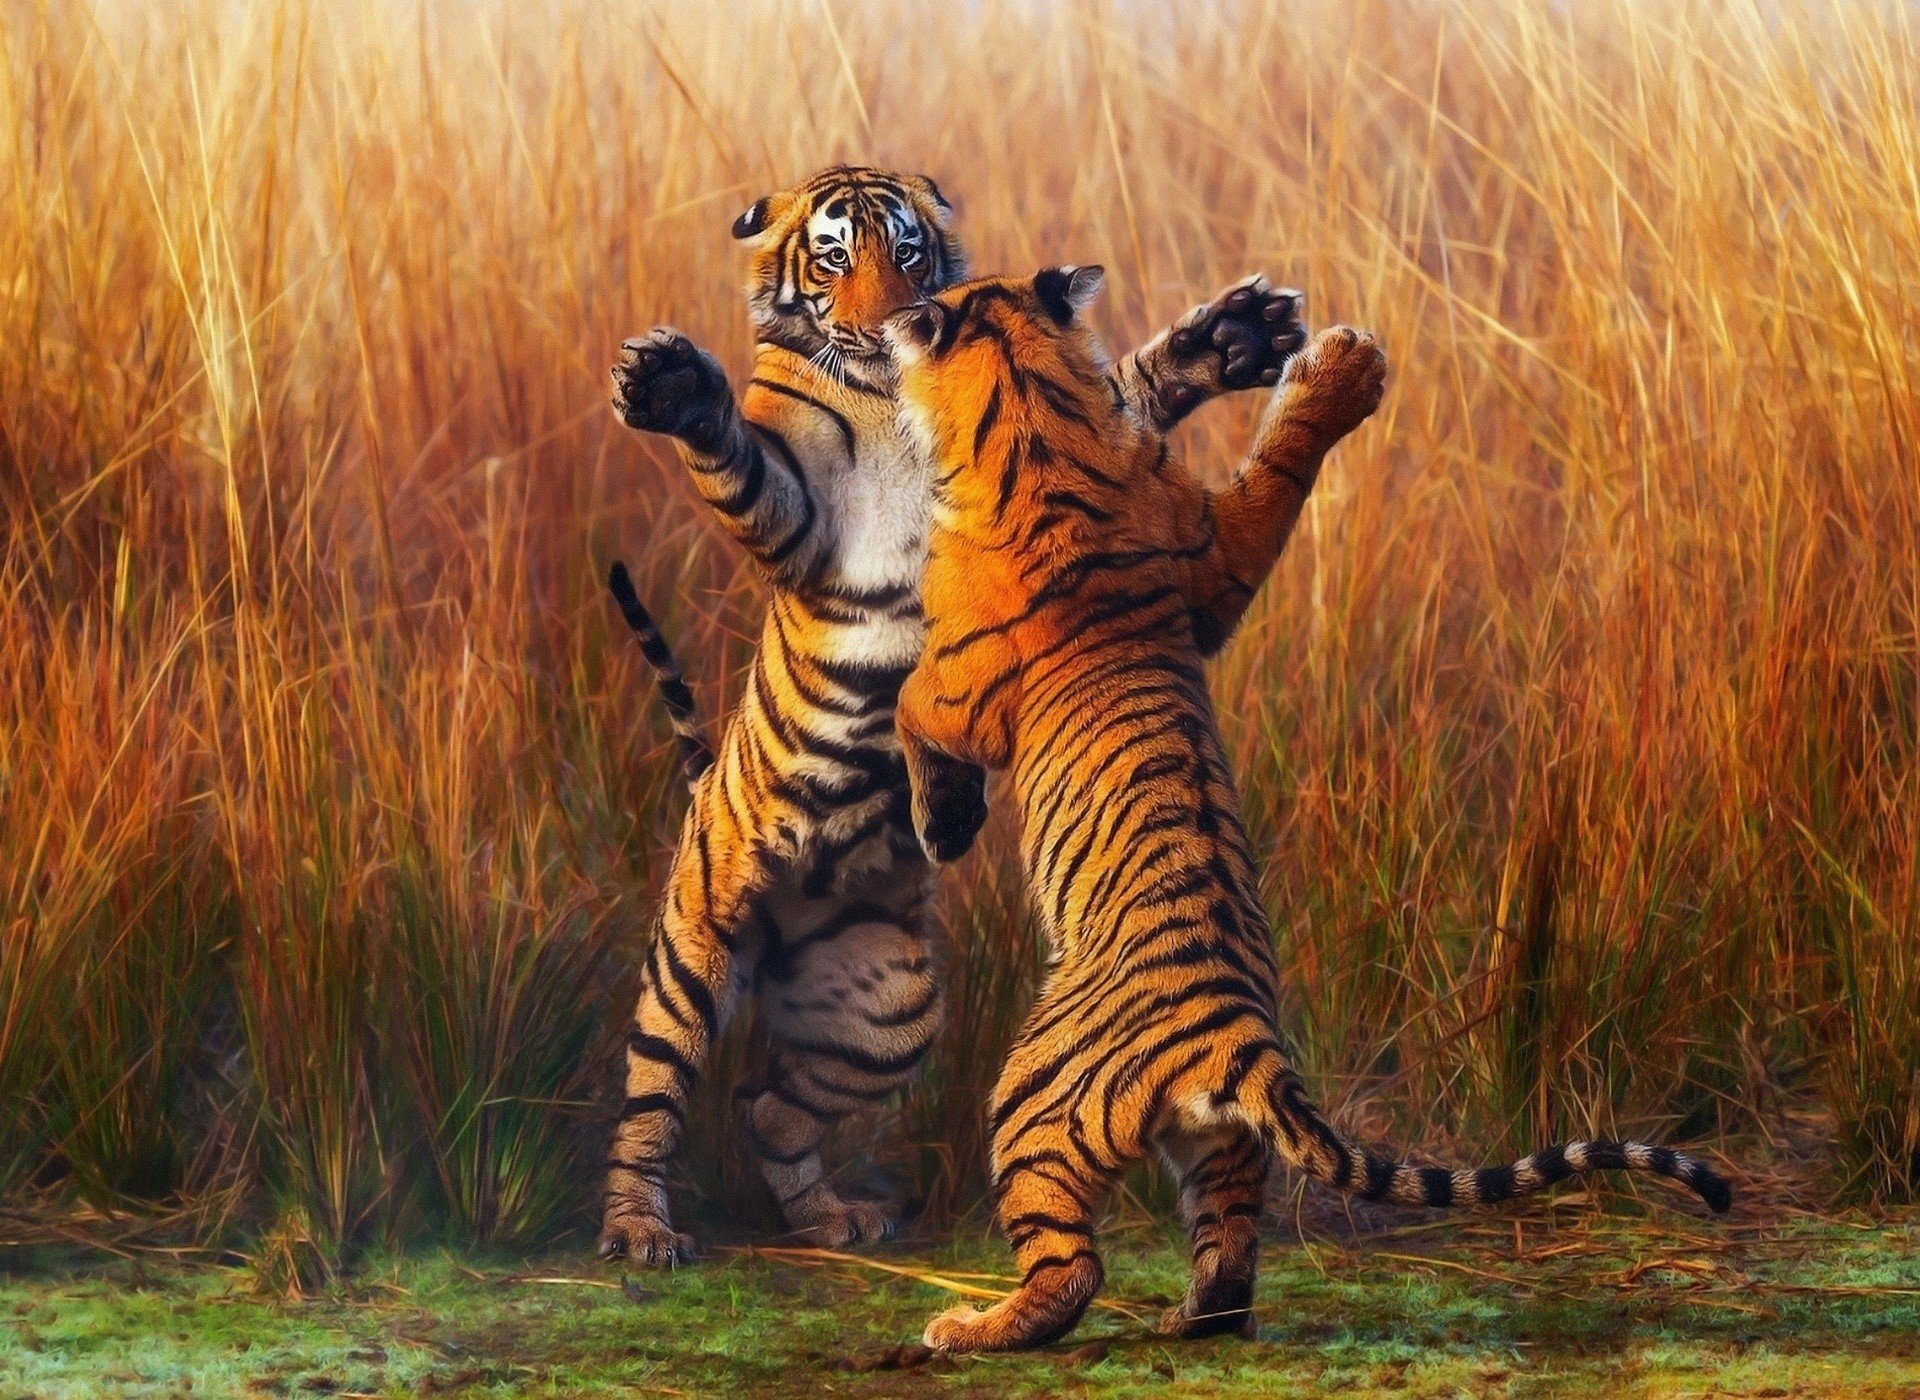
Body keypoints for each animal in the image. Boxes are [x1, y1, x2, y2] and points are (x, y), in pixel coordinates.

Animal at [600, 165, 1317, 1265]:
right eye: (833, 258)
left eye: (908, 251)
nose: (892, 323)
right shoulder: (803, 521)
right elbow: (743, 466)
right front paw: (672, 388)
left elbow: (1124, 387)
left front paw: (1235, 338)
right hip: (694, 942)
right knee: (650, 1097)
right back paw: (638, 1228)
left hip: (888, 1006)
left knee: (770, 1104)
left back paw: (833, 1220)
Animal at [883, 267, 1734, 1352]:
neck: (1041, 410)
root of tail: (1235, 1036)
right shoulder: (1209, 556)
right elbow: (1275, 475)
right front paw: (1341, 370)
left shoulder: (959, 677)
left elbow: (912, 710)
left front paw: (943, 824)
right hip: (1218, 1144)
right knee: (1229, 1248)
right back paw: (1189, 1316)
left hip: (1034, 1098)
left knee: (1070, 1267)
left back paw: (969, 1325)